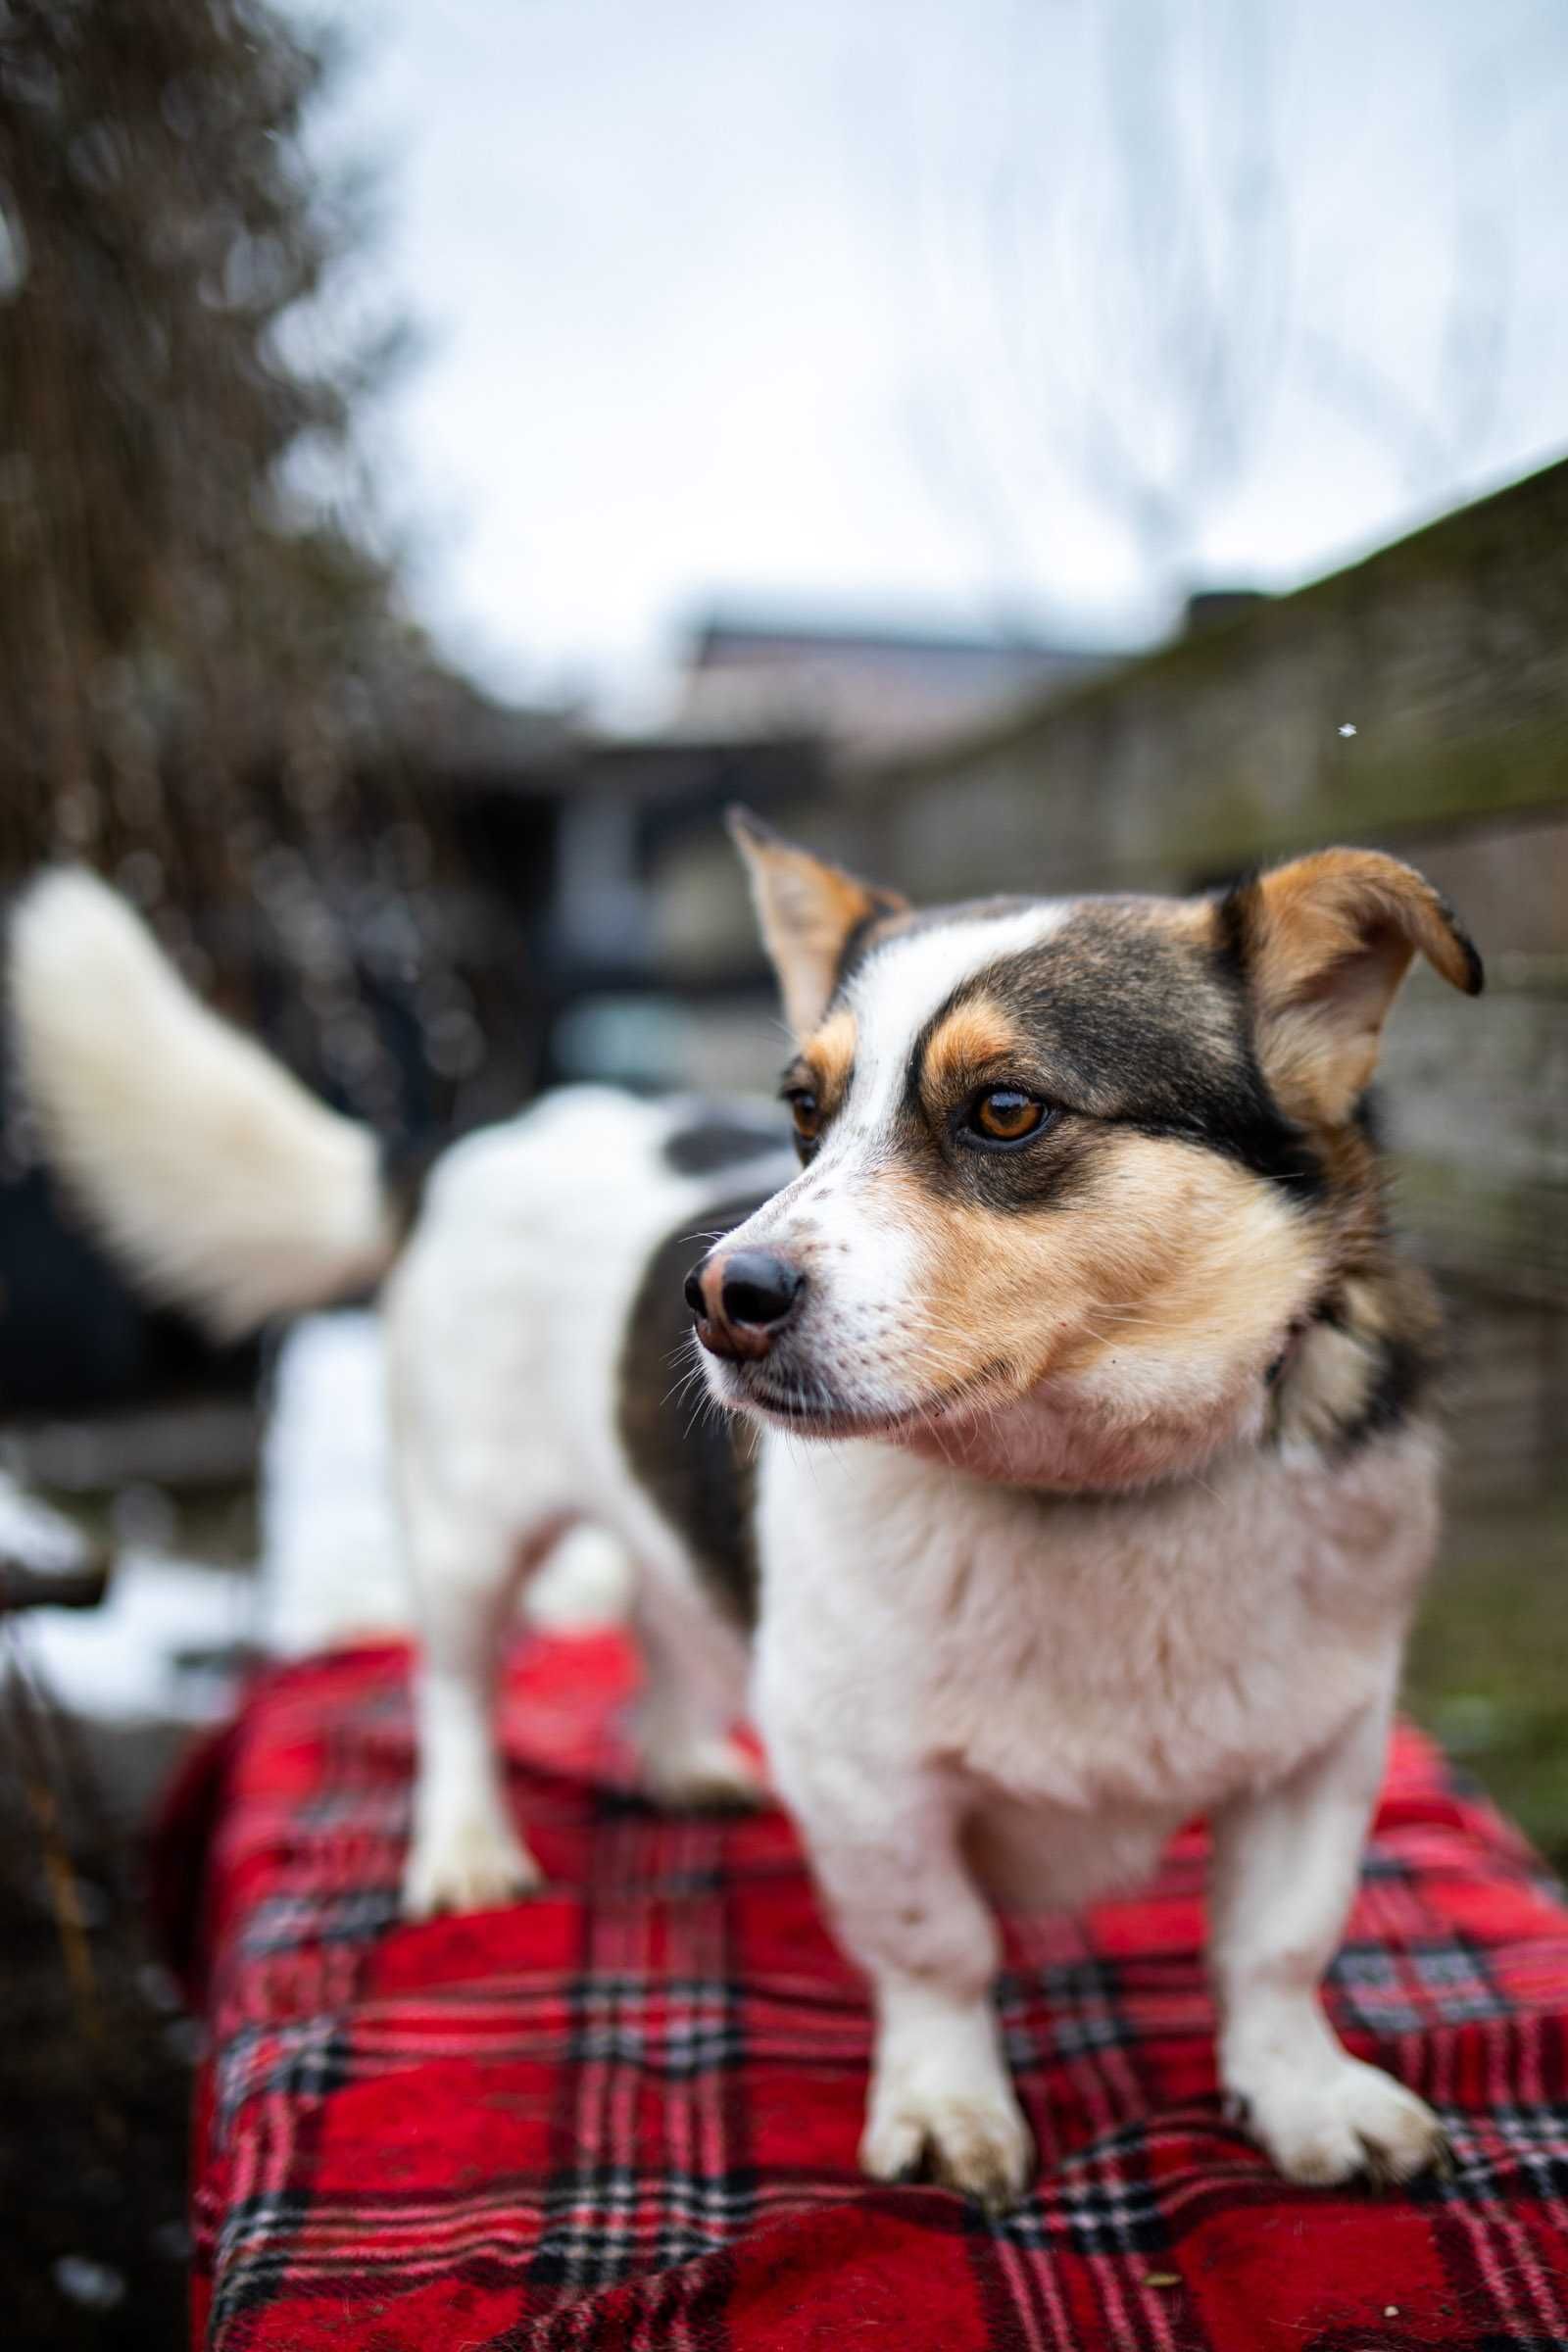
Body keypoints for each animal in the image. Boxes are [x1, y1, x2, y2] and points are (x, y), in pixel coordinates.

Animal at [9, 823, 1486, 2201]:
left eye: (1007, 1110)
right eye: (802, 1109)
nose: (721, 1296)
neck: (1087, 1483)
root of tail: (479, 1134)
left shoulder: (1322, 1746)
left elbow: (1275, 1946)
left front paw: (1300, 2095)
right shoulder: (863, 1778)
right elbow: (941, 1948)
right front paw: (947, 2105)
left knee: (664, 1616)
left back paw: (679, 1758)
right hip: (467, 1533)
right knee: (458, 1692)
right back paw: (468, 1847)